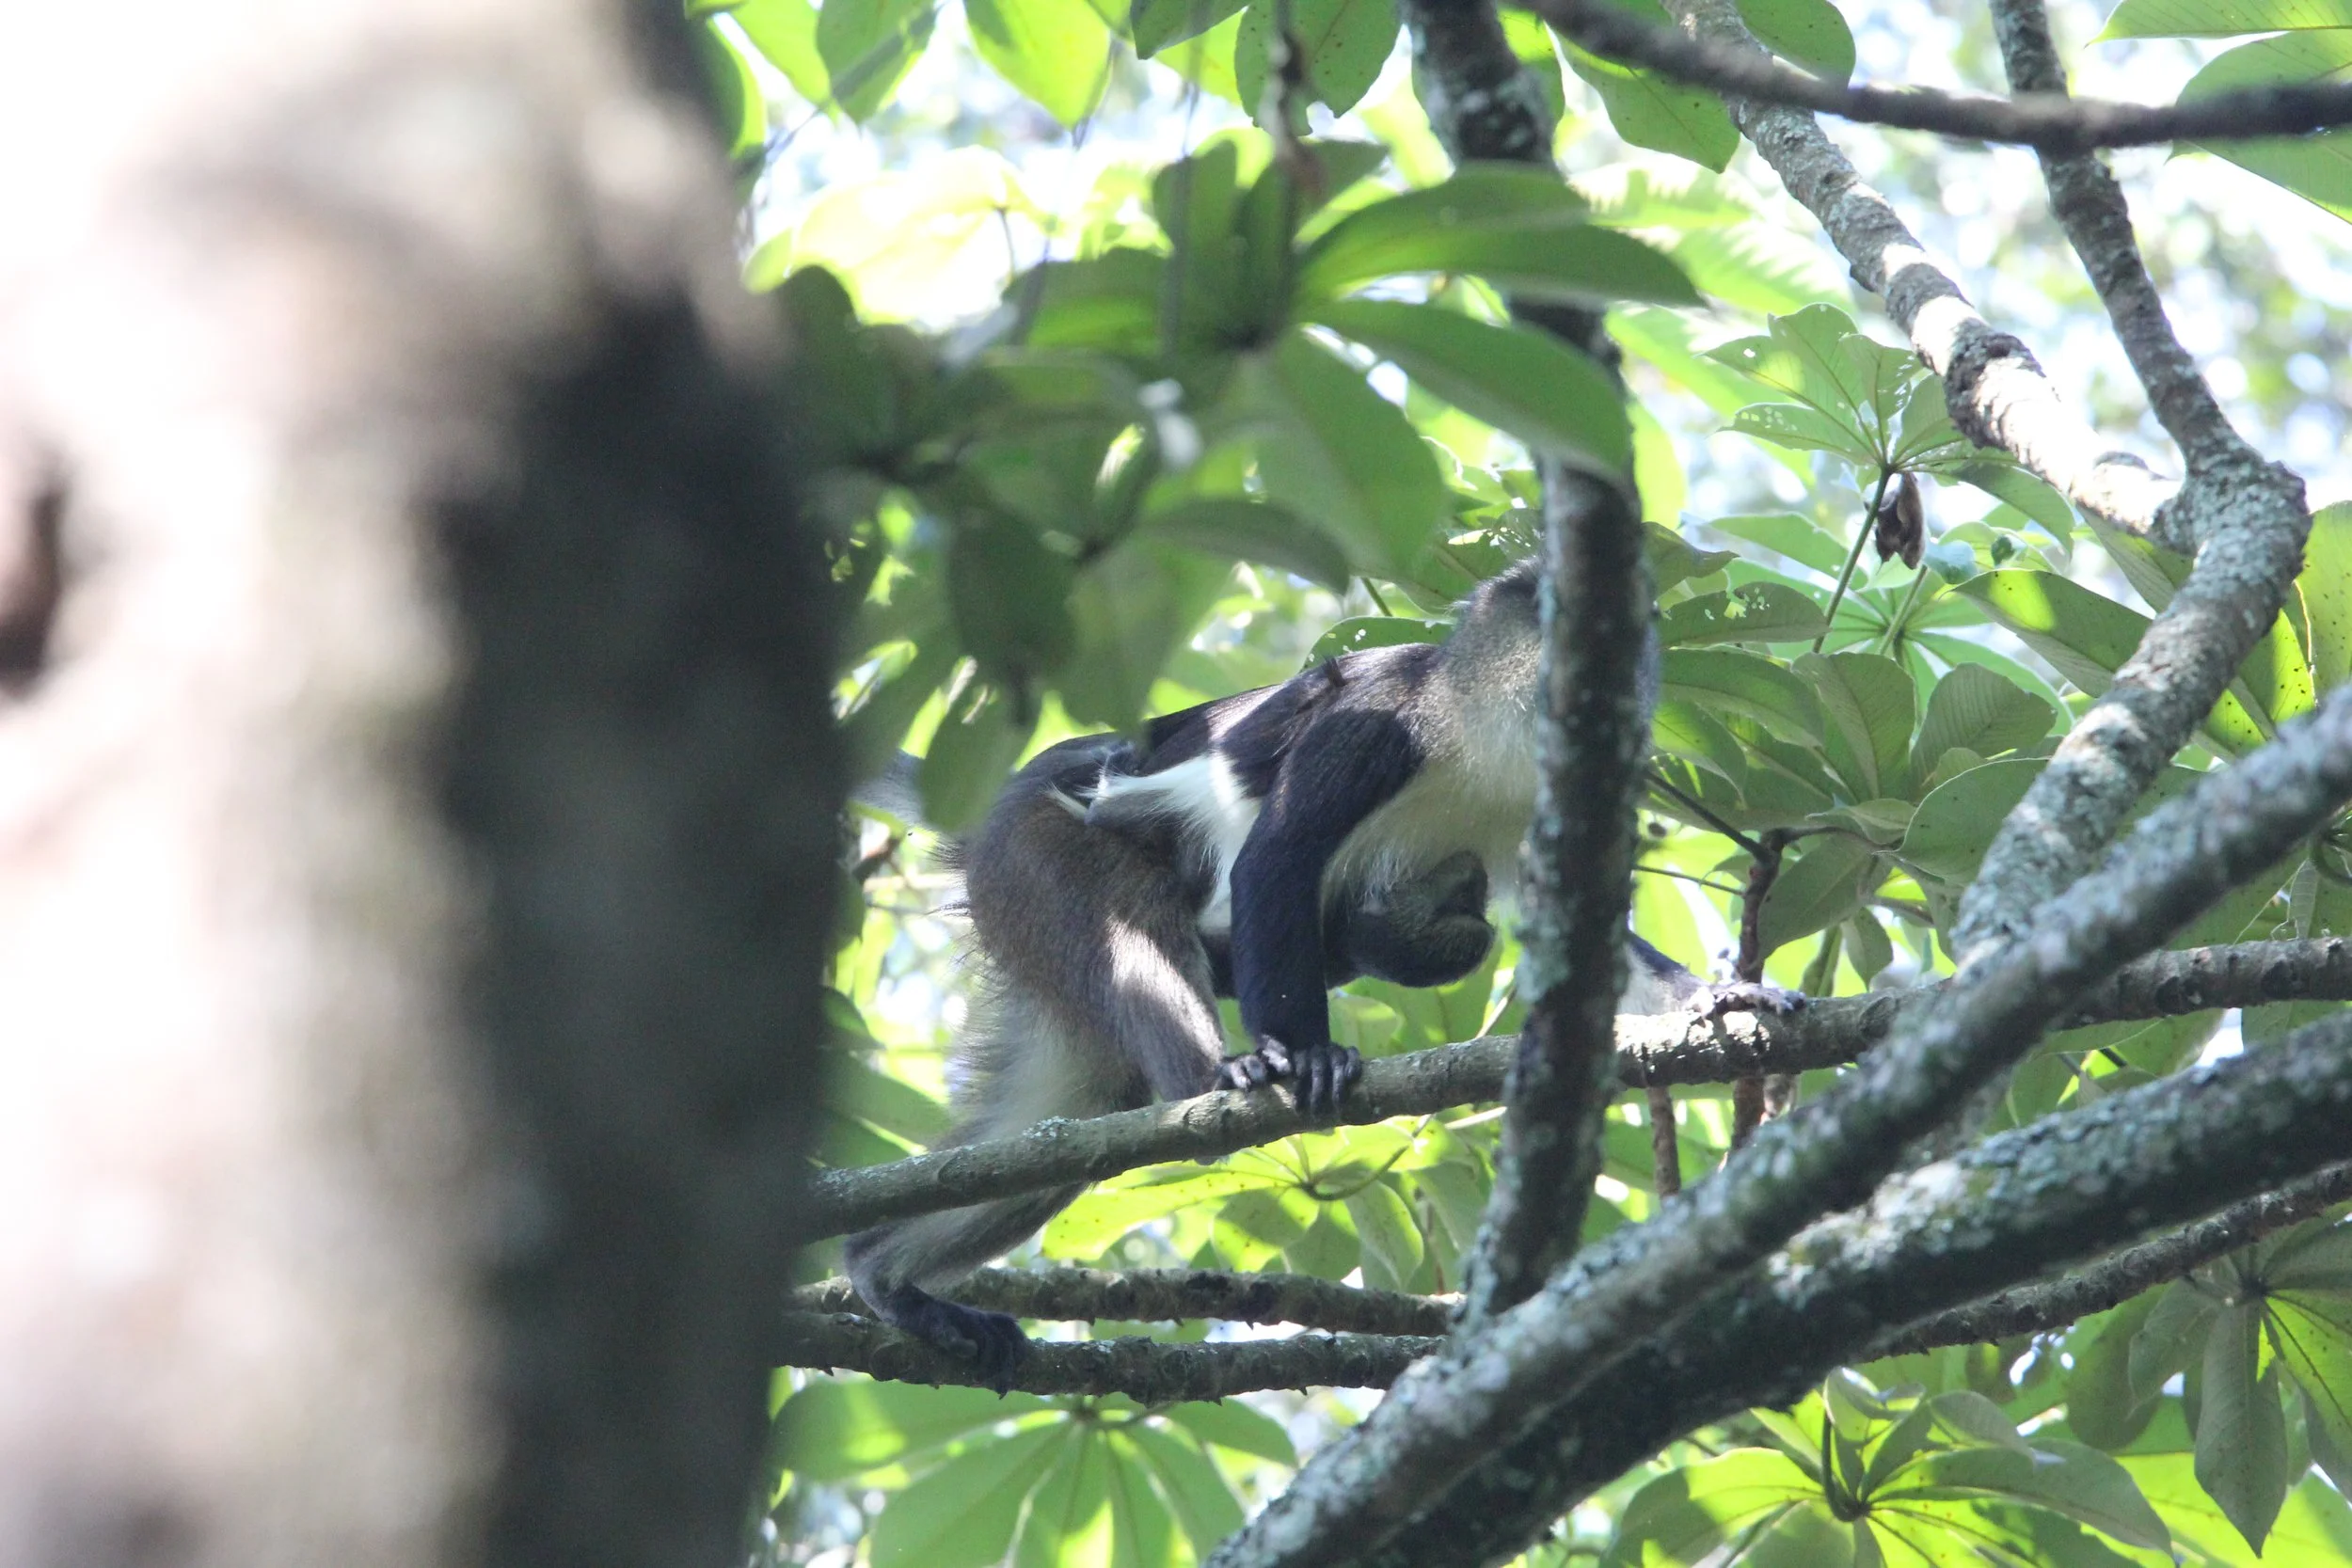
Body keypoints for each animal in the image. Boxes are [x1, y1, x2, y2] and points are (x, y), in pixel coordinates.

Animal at [844, 558, 1799, 1384]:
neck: (1484, 735)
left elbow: (1589, 946)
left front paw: (1726, 996)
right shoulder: (1375, 726)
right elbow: (1277, 858)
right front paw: (1303, 1054)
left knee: (1081, 1104)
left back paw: (885, 1276)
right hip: (1036, 852)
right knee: (1137, 931)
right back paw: (1219, 1076)